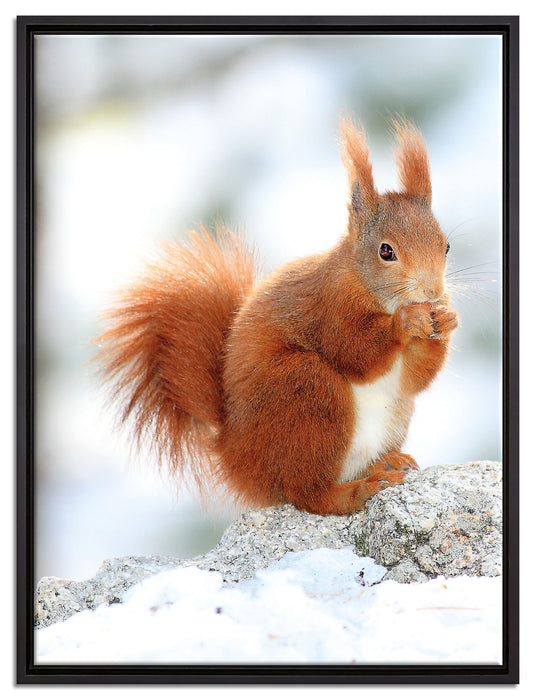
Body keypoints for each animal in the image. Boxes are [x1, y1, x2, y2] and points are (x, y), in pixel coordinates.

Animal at [95, 117, 458, 516]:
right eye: (386, 251)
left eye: (446, 245)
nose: (433, 291)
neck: (373, 290)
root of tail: (234, 456)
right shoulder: (329, 307)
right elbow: (354, 351)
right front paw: (405, 323)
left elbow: (414, 379)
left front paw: (447, 320)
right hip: (306, 392)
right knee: (308, 493)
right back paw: (359, 490)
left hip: (389, 415)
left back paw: (385, 462)